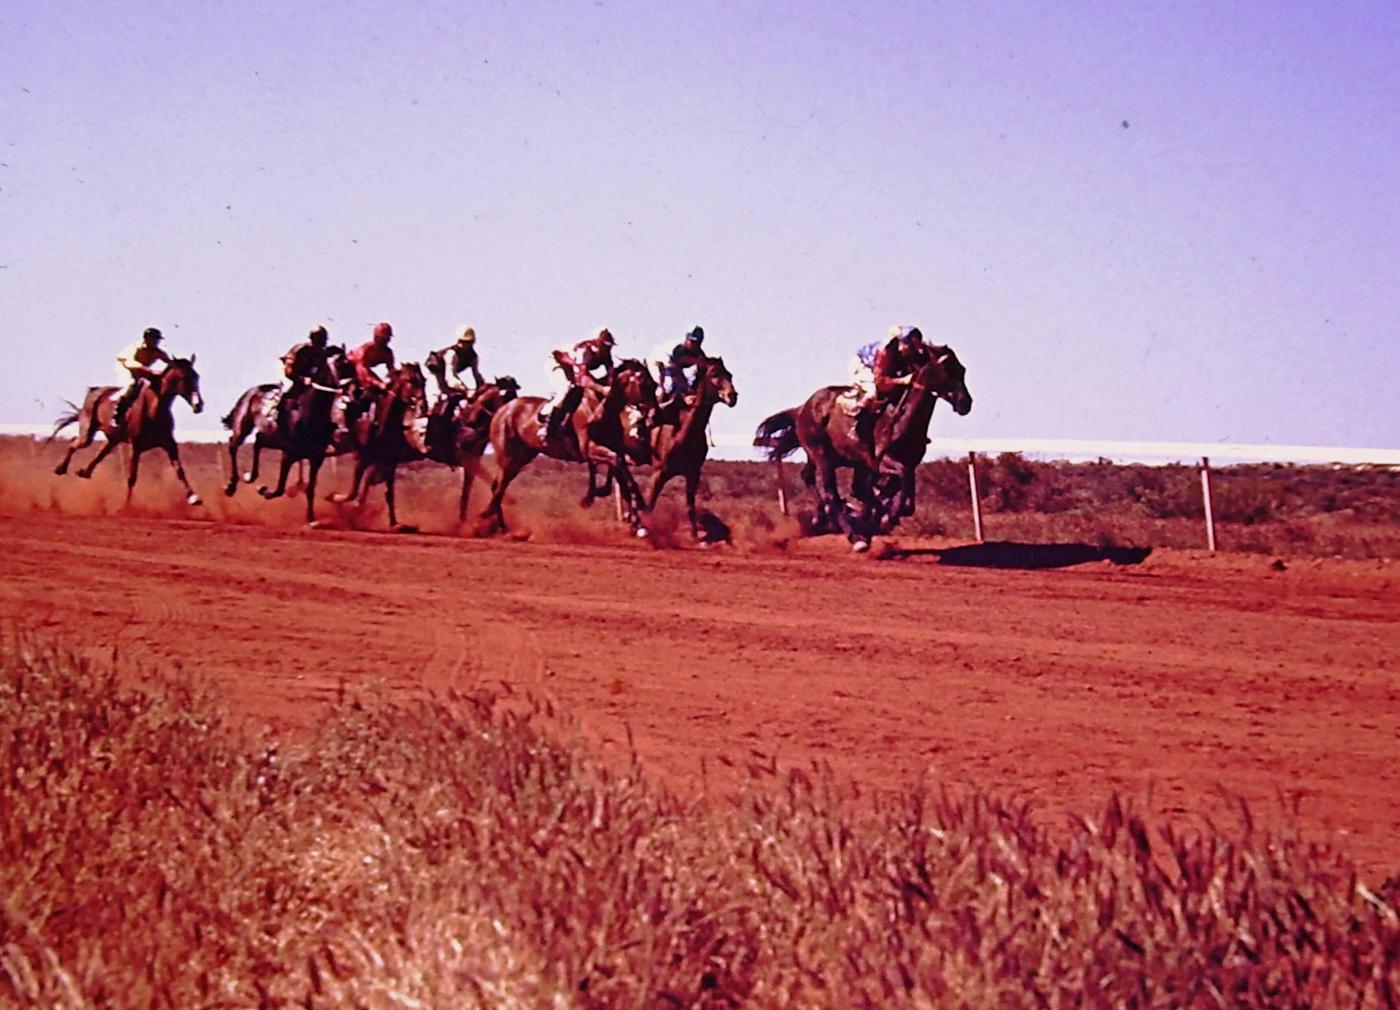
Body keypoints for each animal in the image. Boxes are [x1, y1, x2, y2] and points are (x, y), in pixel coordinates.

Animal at [52, 358, 205, 507]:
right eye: (183, 377)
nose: (198, 405)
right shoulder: (135, 446)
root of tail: (94, 390)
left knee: (99, 454)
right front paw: (126, 506)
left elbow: (179, 470)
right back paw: (61, 468)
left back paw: (84, 472)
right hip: (88, 432)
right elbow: (132, 477)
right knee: (74, 444)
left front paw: (193, 497)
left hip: (112, 439)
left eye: (197, 376)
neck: (153, 408)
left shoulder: (169, 444)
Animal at [221, 344, 355, 523]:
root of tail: (252, 390)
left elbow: (310, 489)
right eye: (343, 364)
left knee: (258, 440)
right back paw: (231, 485)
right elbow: (280, 488)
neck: (310, 413)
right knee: (234, 445)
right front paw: (264, 490)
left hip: (272, 437)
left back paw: (251, 476)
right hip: (243, 425)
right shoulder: (289, 454)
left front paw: (311, 518)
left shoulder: (316, 458)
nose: (355, 391)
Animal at [329, 364, 428, 535]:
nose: (423, 406)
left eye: (423, 380)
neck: (381, 423)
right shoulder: (361, 459)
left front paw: (396, 524)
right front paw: (336, 499)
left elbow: (389, 494)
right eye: (410, 380)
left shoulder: (388, 463)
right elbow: (353, 492)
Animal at [478, 361, 658, 535]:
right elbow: (619, 467)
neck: (601, 406)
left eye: (655, 384)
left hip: (522, 456)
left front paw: (638, 523)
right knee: (499, 486)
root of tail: (503, 409)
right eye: (645, 384)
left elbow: (625, 482)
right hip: (507, 455)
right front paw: (592, 498)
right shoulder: (590, 449)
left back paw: (500, 525)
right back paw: (488, 516)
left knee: (500, 484)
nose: (654, 414)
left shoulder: (612, 449)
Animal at [756, 347, 974, 551]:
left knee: (809, 477)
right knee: (832, 495)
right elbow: (895, 483)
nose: (965, 403)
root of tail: (803, 407)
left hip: (830, 456)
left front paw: (880, 515)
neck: (901, 420)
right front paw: (885, 516)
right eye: (946, 369)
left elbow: (901, 491)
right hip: (823, 455)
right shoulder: (879, 461)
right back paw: (855, 537)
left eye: (962, 369)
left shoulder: (906, 463)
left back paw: (823, 517)